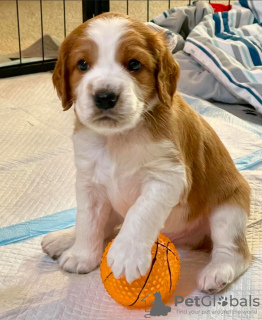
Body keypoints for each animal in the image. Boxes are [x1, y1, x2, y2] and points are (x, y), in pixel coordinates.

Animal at [42, 11, 251, 292]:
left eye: (134, 64)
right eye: (82, 65)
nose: (105, 97)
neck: (118, 138)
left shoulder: (167, 176)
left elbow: (140, 212)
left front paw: (126, 255)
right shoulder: (89, 181)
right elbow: (87, 220)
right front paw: (82, 255)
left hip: (229, 209)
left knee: (234, 250)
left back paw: (218, 271)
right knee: (106, 225)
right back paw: (64, 238)